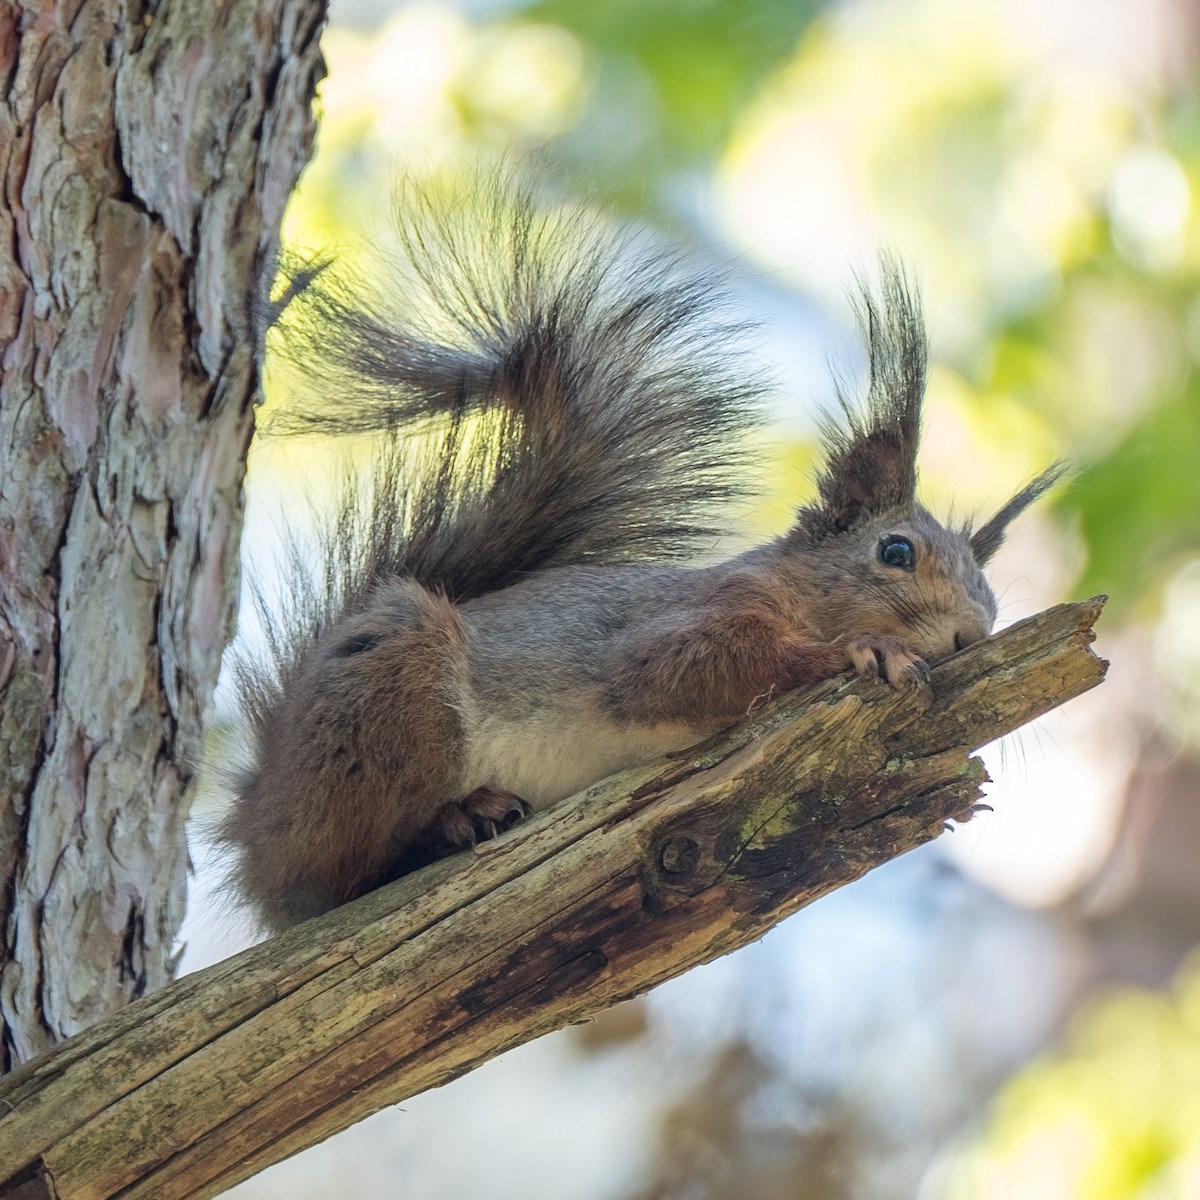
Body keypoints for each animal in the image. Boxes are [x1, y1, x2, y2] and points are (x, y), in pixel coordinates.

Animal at [218, 177, 1062, 934]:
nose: (970, 637)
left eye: (991, 596)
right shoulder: (679, 620)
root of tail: (256, 818)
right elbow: (678, 667)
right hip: (388, 694)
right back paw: (453, 821)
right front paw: (861, 648)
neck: (789, 587)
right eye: (895, 551)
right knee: (340, 879)